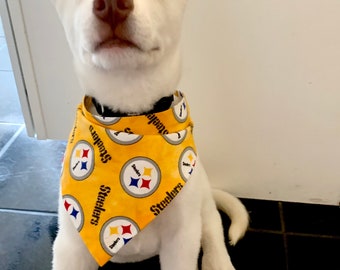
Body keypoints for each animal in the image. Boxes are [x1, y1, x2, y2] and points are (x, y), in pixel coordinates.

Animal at [51, 0, 248, 270]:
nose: (111, 5)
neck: (129, 120)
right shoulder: (71, 246)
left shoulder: (181, 241)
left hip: (203, 201)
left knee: (212, 228)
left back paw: (218, 261)